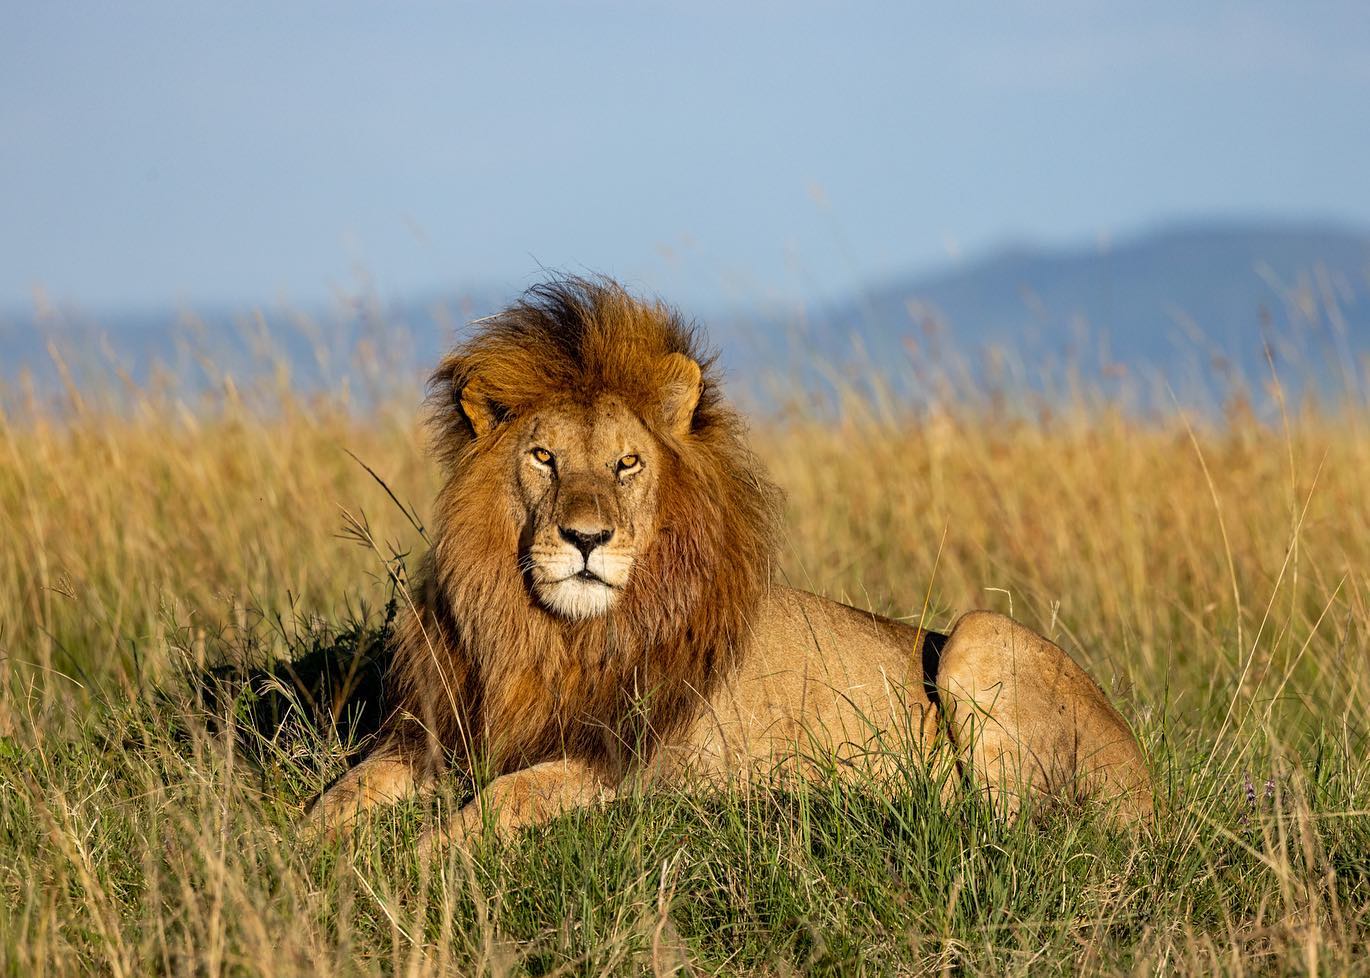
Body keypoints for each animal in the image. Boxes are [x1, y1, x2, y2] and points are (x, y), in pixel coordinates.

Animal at [308, 276, 1145, 843]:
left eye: (626, 464)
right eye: (544, 458)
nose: (585, 539)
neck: (548, 636)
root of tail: (1151, 784)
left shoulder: (613, 765)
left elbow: (494, 806)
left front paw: (417, 862)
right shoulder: (429, 737)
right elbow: (336, 796)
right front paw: (293, 856)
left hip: (979, 633)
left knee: (1007, 830)